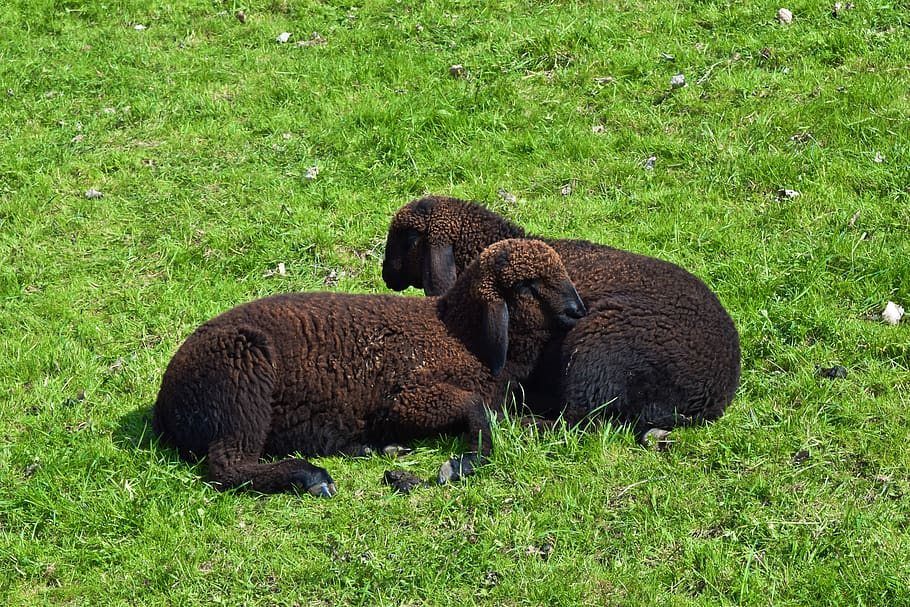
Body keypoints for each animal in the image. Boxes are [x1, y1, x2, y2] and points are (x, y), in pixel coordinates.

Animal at [152, 238, 586, 496]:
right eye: (526, 286)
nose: (577, 311)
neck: (461, 335)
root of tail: (164, 403)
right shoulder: (409, 397)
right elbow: (475, 409)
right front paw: (462, 464)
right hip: (243, 383)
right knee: (227, 466)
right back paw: (311, 476)